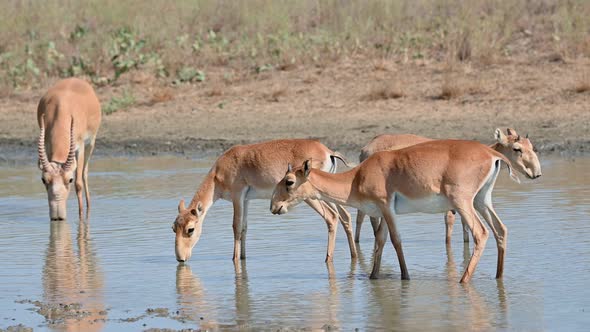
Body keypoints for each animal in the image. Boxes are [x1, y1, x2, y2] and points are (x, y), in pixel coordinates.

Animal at [37, 78, 102, 220]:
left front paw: (81, 216)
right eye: (44, 180)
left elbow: (79, 184)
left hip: (91, 143)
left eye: (70, 179)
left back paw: (88, 207)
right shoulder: (48, 147)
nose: (57, 216)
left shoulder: (80, 147)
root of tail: (76, 79)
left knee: (84, 173)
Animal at [171, 139, 356, 264]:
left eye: (190, 229)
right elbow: (244, 228)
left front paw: (235, 260)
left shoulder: (237, 196)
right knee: (345, 216)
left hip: (313, 198)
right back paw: (354, 256)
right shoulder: (245, 200)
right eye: (173, 227)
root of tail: (328, 151)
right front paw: (243, 258)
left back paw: (328, 259)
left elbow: (236, 227)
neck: (219, 171)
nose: (180, 258)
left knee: (332, 217)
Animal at [272, 140, 524, 282]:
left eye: (289, 181)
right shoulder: (384, 213)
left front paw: (405, 276)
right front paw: (373, 276)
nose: (274, 206)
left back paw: (464, 280)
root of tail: (493, 155)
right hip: (482, 201)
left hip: (463, 202)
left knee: (481, 233)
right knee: (501, 229)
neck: (356, 178)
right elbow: (380, 240)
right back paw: (498, 276)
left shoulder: (385, 207)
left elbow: (395, 239)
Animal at [354, 128, 544, 245]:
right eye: (517, 148)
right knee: (363, 216)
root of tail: (367, 147)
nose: (536, 173)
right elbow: (450, 223)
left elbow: (465, 226)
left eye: (531, 146)